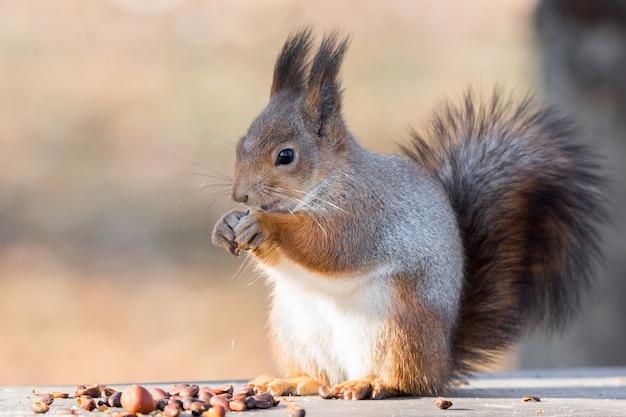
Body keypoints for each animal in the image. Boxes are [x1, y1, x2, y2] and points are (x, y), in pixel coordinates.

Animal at [210, 27, 604, 398]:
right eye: (241, 144)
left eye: (286, 156)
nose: (239, 193)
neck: (325, 181)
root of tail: (443, 360)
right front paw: (226, 225)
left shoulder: (363, 212)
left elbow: (329, 246)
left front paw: (264, 224)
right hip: (294, 326)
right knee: (321, 376)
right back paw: (292, 381)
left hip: (399, 323)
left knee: (409, 379)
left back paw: (372, 383)